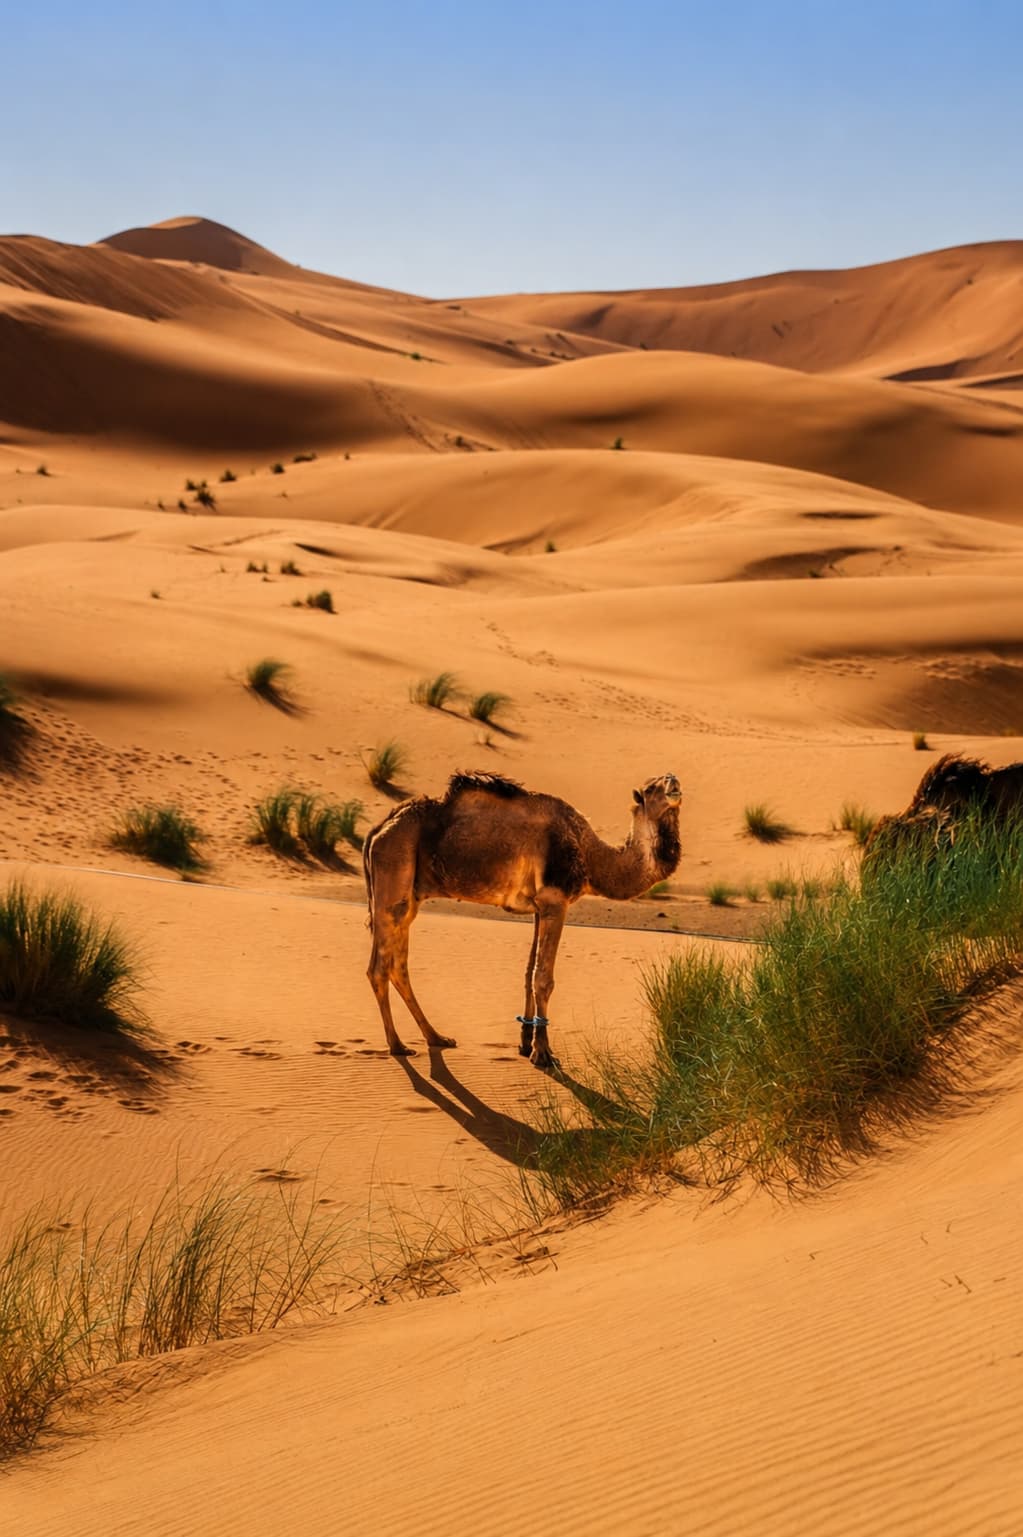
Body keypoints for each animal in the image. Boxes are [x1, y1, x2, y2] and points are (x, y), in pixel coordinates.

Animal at [363, 770, 682, 1068]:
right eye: (650, 788)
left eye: (669, 779)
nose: (673, 782)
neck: (589, 854)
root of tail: (379, 829)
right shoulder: (555, 901)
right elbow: (543, 978)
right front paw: (543, 1053)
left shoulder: (539, 907)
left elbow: (529, 973)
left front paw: (525, 1043)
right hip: (394, 873)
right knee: (379, 967)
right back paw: (398, 1045)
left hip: (408, 894)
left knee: (398, 966)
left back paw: (436, 1037)